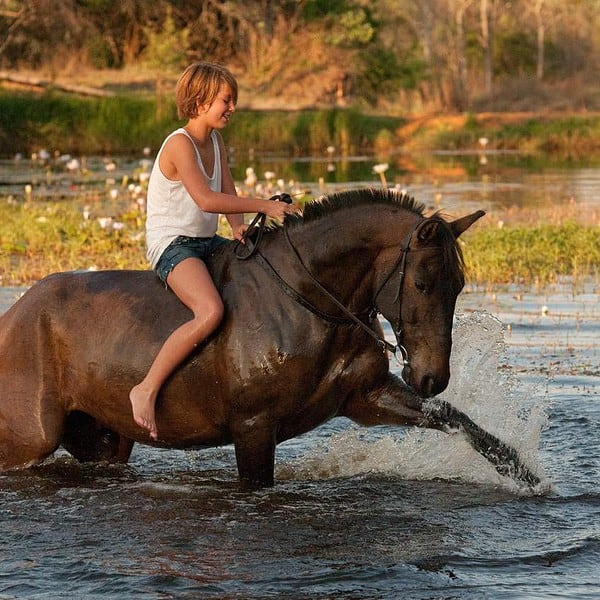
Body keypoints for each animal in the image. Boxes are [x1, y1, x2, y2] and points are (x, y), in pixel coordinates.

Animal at [0, 190, 540, 490]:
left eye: (460, 285)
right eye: (424, 283)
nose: (431, 376)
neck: (310, 303)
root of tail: (15, 317)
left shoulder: (366, 398)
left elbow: (456, 421)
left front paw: (528, 476)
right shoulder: (254, 427)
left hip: (104, 440)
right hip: (30, 438)